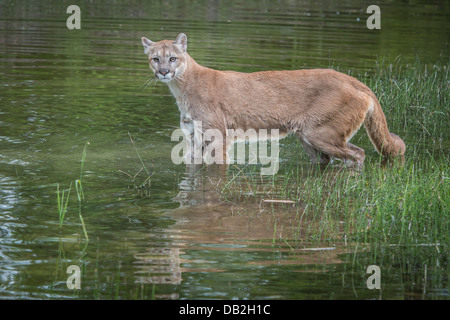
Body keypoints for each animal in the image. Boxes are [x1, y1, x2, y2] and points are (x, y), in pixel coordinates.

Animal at [140, 33, 404, 165]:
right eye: (155, 58)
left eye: (172, 58)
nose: (163, 72)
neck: (181, 86)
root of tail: (357, 81)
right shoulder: (193, 136)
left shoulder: (217, 136)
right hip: (310, 138)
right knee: (328, 159)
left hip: (319, 133)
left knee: (358, 154)